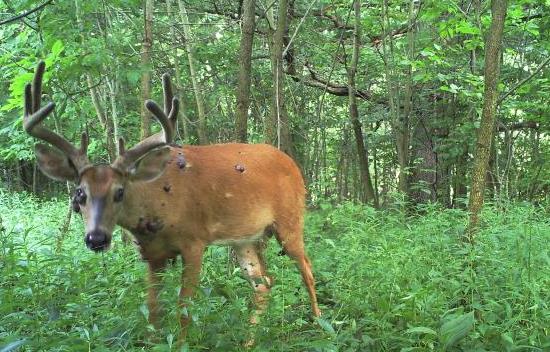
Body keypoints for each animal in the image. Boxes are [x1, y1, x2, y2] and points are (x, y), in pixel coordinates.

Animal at [22, 62, 324, 342]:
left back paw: (321, 326)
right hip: (246, 239)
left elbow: (184, 308)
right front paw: (154, 341)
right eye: (79, 194)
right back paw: (248, 342)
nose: (97, 239)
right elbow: (153, 308)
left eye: (119, 191)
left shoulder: (194, 241)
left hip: (290, 219)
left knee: (307, 269)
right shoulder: (152, 254)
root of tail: (292, 163)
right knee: (263, 284)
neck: (155, 203)